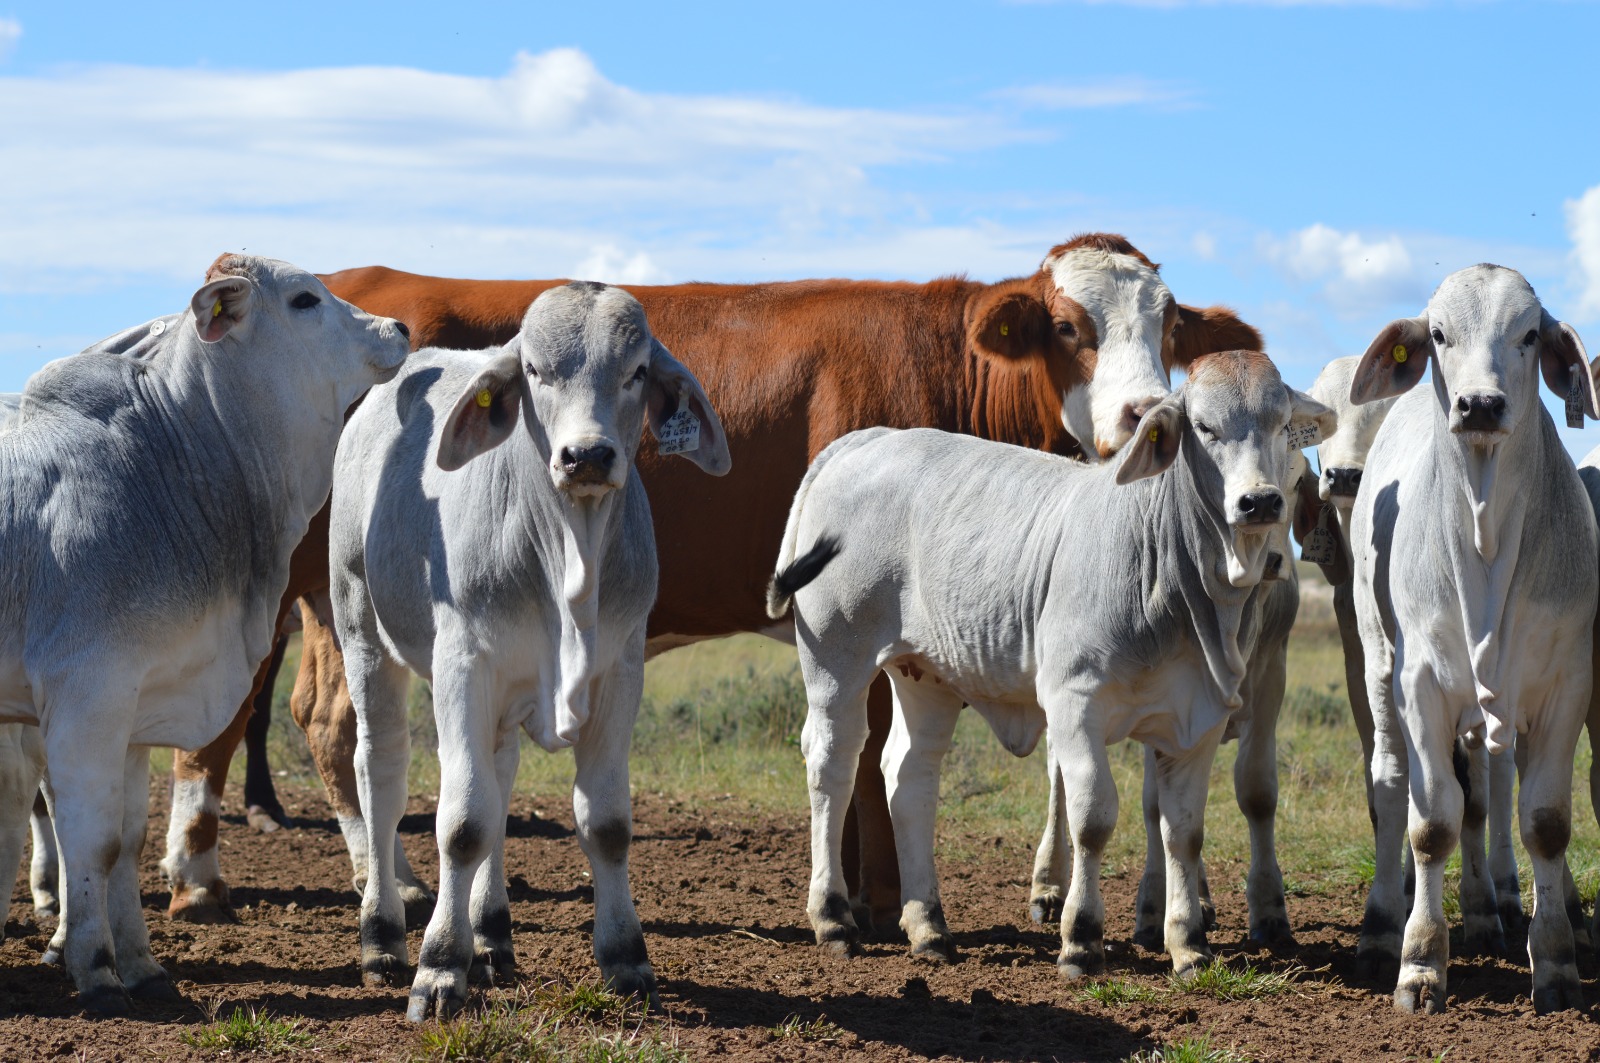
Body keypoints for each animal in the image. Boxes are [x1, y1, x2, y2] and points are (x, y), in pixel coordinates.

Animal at [0, 255, 410, 1013]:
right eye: (304, 299)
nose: (397, 327)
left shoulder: (137, 708)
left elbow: (126, 842)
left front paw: (142, 965)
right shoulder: (86, 700)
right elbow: (90, 844)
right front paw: (96, 970)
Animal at [330, 283, 731, 1020]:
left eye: (635, 372)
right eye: (536, 371)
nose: (587, 455)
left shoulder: (620, 670)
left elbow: (604, 822)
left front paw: (626, 957)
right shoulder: (463, 664)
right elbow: (462, 821)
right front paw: (438, 967)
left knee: (498, 775)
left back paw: (491, 934)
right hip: (361, 631)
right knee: (382, 774)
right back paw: (382, 937)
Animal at [767, 350, 1334, 975]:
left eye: (1282, 427)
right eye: (1205, 428)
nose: (1259, 501)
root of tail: (868, 440)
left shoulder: (1197, 720)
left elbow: (1183, 832)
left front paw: (1188, 943)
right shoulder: (1075, 703)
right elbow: (1093, 818)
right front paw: (1082, 937)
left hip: (925, 676)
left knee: (910, 776)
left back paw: (929, 927)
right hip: (835, 661)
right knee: (833, 765)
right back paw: (833, 917)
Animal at [1349, 264, 1596, 1014]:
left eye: (1529, 334)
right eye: (1437, 333)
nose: (1480, 404)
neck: (1485, 536)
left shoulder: (1565, 685)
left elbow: (1543, 820)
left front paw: (1555, 960)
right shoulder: (1421, 684)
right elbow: (1430, 823)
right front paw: (1421, 964)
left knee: (1488, 791)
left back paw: (1489, 910)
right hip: (1378, 666)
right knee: (1392, 784)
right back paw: (1380, 926)